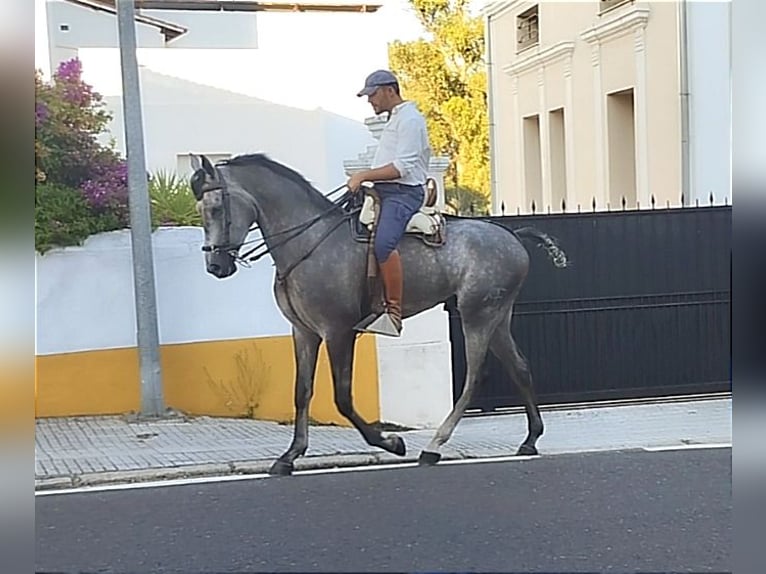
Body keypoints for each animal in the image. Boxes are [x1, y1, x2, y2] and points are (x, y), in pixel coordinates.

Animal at [188, 153, 568, 476]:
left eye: (217, 207)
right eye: (200, 209)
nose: (215, 265)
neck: (309, 241)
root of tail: (512, 235)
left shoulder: (338, 332)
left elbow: (342, 398)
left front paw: (391, 441)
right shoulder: (304, 332)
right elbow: (302, 392)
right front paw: (290, 455)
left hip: (477, 315)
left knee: (474, 378)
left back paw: (433, 446)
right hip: (497, 316)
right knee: (519, 367)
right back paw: (530, 439)